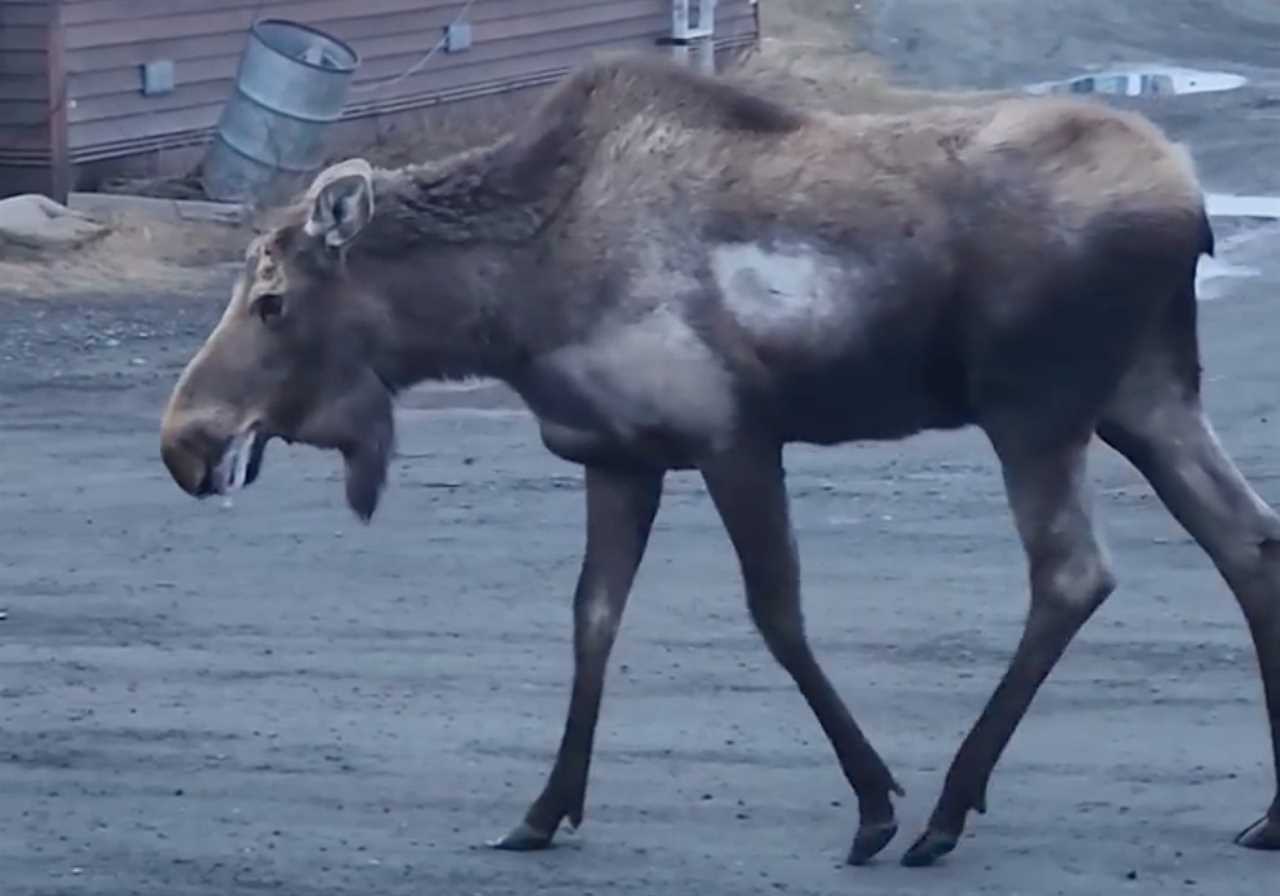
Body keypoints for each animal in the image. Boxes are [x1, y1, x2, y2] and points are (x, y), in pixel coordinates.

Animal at [157, 56, 1280, 870]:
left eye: (272, 301)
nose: (184, 440)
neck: (506, 307)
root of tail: (1190, 204)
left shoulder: (732, 435)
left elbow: (776, 615)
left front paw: (873, 802)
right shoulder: (618, 454)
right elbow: (591, 618)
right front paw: (545, 806)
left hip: (1034, 405)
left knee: (1072, 572)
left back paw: (946, 809)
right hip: (1145, 395)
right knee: (1248, 543)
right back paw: (1266, 812)